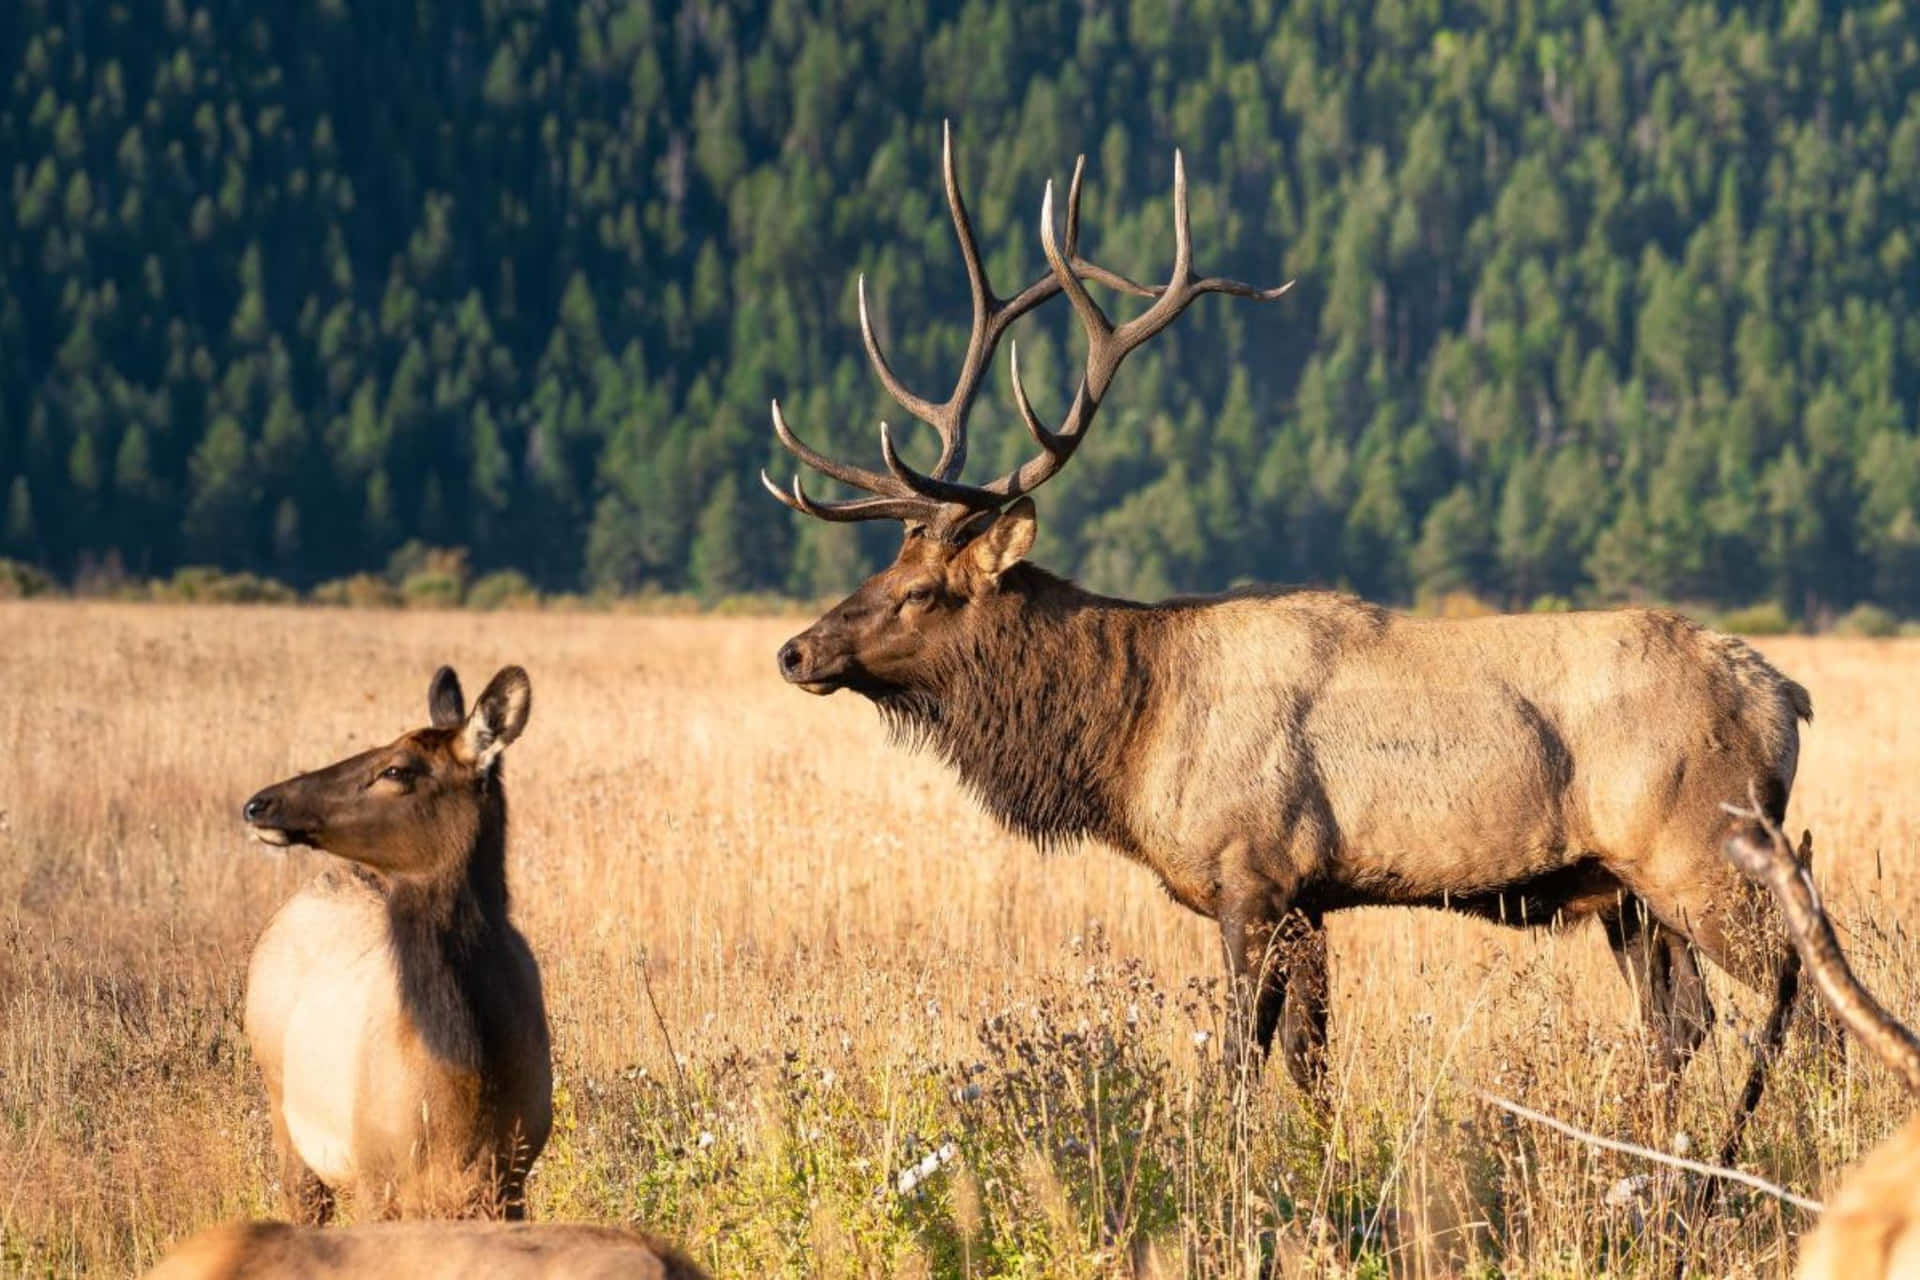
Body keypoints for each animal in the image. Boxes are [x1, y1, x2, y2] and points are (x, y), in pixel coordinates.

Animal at [760, 127, 1812, 1143]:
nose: (795, 651)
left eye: (920, 591)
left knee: (1801, 998)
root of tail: (1788, 698)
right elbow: (1312, 1069)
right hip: (1629, 892)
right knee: (1682, 1024)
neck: (1131, 733)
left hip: (1707, 855)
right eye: (882, 568)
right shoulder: (1310, 899)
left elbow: (1236, 1065)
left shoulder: (1254, 878)